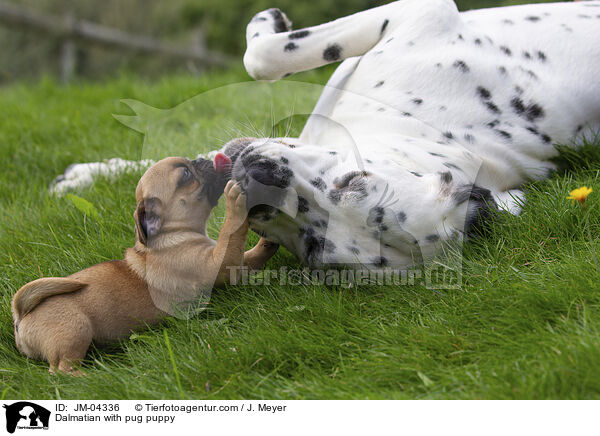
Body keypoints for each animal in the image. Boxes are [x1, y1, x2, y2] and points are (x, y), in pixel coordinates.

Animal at [11, 154, 278, 374]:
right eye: (185, 174)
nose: (203, 158)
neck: (173, 233)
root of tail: (21, 316)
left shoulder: (234, 261)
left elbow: (251, 255)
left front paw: (269, 239)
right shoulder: (219, 264)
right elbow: (231, 232)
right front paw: (235, 201)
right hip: (76, 330)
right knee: (61, 370)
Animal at [54, 0, 596, 270]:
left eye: (315, 248)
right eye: (355, 181)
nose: (260, 189)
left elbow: (262, 56)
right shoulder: (422, 11)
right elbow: (265, 57)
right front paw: (85, 174)